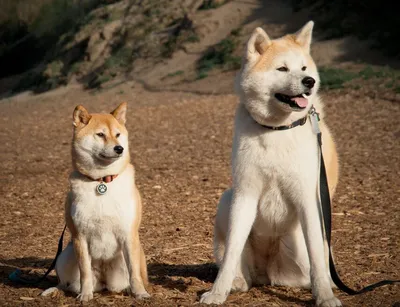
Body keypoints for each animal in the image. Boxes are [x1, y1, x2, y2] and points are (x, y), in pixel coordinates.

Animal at [41, 103, 150, 304]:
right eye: (100, 134)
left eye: (118, 134)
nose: (119, 148)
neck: (102, 181)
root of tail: (104, 282)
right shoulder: (80, 237)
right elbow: (84, 273)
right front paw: (85, 295)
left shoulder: (128, 234)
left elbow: (134, 274)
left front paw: (140, 293)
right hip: (65, 255)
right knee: (65, 283)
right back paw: (53, 291)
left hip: (134, 254)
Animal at [200, 20, 340, 306]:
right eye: (282, 68)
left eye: (304, 68)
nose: (309, 82)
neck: (277, 130)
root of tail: (267, 272)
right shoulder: (245, 193)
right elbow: (231, 252)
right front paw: (218, 292)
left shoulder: (309, 198)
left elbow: (318, 257)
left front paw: (324, 296)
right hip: (227, 199)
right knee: (239, 267)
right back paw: (237, 282)